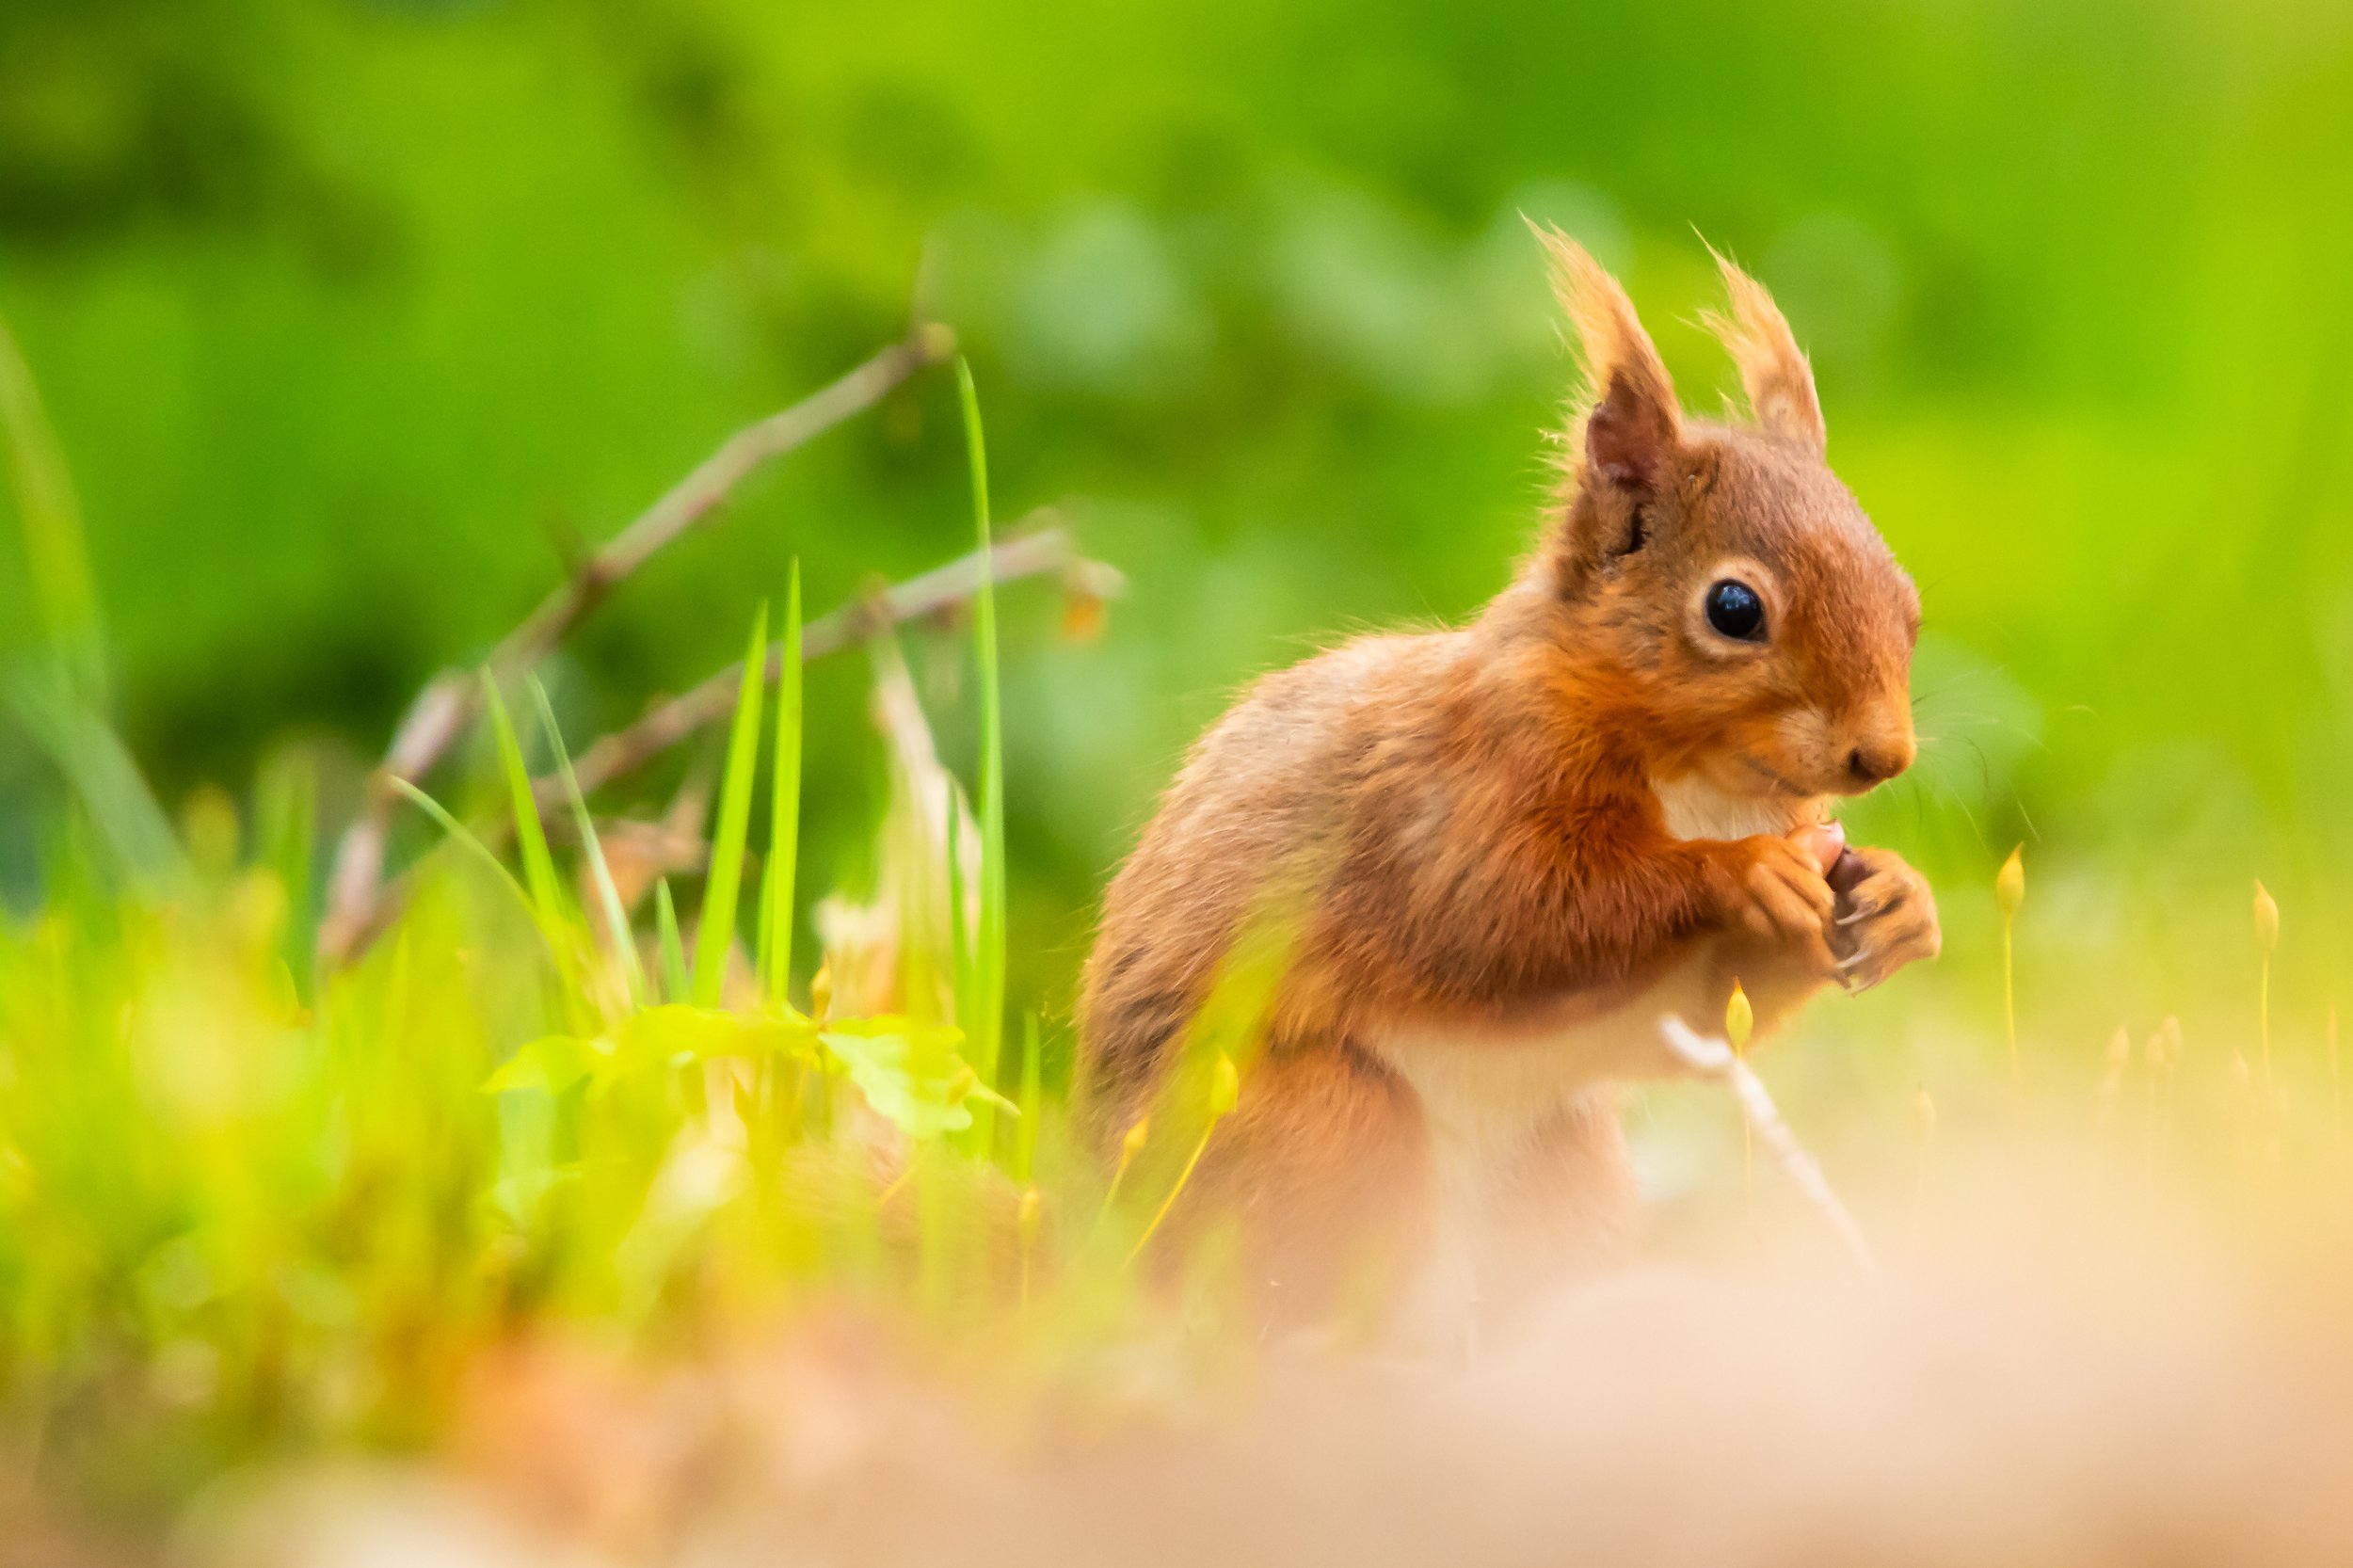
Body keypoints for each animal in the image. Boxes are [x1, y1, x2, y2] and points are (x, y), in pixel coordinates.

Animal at [1076, 230, 1939, 1332]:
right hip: (1303, 1126)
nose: (1884, 757)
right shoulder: (1452, 797)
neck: (1700, 780)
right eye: (1735, 607)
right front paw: (1745, 872)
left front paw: (1901, 900)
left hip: (1559, 1163)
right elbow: (1509, 912)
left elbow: (1698, 1015)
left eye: (1907, 599)